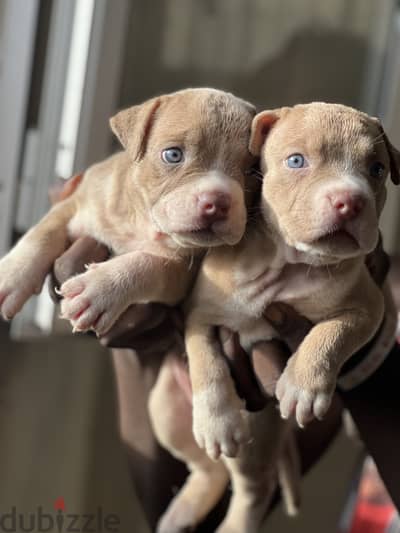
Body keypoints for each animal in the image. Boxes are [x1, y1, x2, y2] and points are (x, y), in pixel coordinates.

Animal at [0, 88, 255, 328]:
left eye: (253, 172)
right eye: (173, 155)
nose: (218, 203)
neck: (141, 221)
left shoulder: (182, 273)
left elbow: (149, 265)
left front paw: (98, 290)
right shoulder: (74, 202)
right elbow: (41, 234)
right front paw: (11, 276)